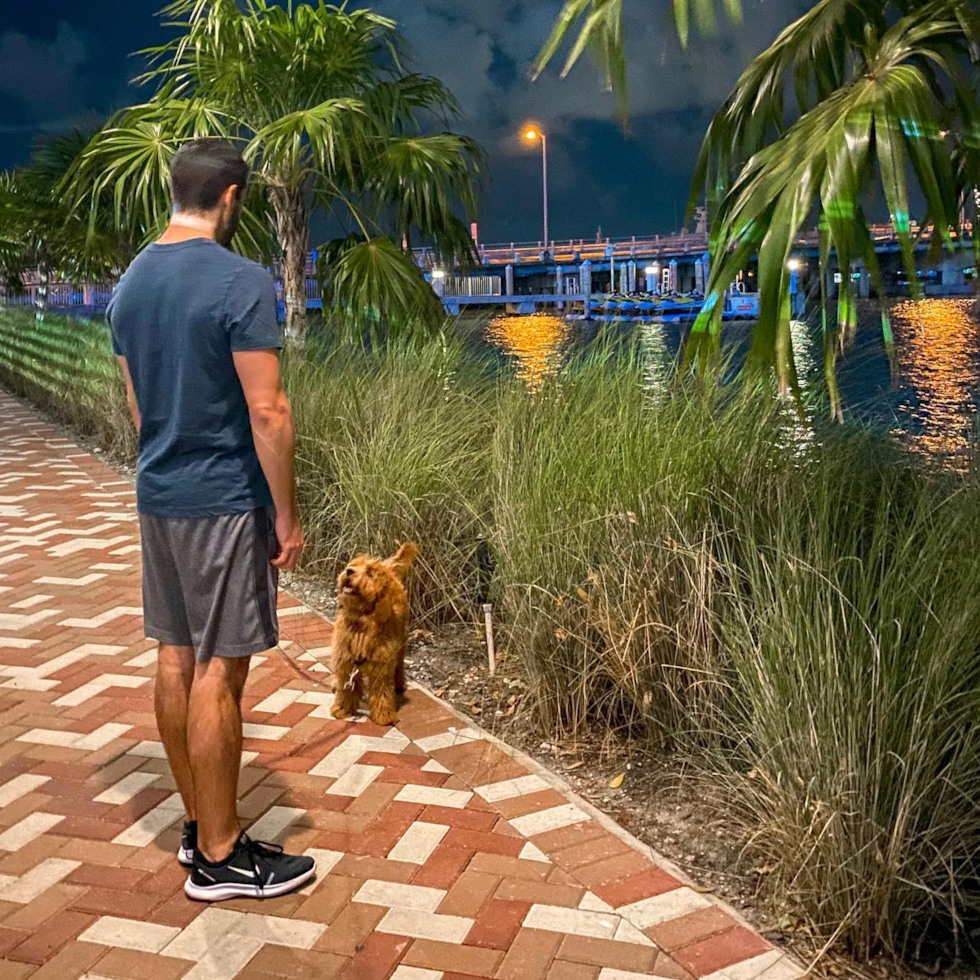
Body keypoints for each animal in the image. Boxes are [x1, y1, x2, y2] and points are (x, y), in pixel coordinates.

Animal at [332, 544, 420, 728]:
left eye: (369, 573)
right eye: (353, 565)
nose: (348, 571)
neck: (360, 622)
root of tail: (388, 569)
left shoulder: (382, 666)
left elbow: (382, 692)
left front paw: (383, 715)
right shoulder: (345, 661)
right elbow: (346, 687)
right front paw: (343, 709)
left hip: (400, 642)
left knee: (399, 664)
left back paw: (399, 683)